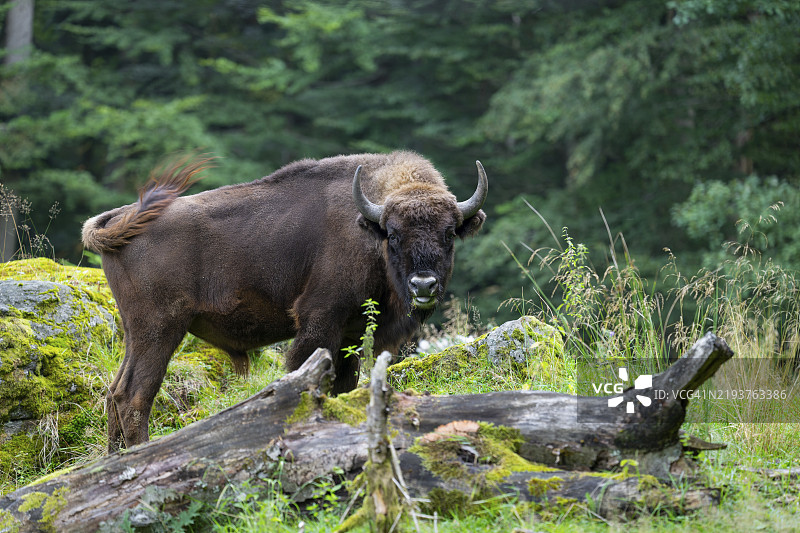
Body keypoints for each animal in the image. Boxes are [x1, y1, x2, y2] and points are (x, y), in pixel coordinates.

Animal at [82, 151, 487, 451]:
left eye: (449, 233)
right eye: (394, 234)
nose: (423, 285)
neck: (365, 226)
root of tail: (123, 218)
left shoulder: (352, 333)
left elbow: (343, 386)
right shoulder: (319, 321)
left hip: (136, 332)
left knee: (115, 392)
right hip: (160, 329)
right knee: (134, 396)